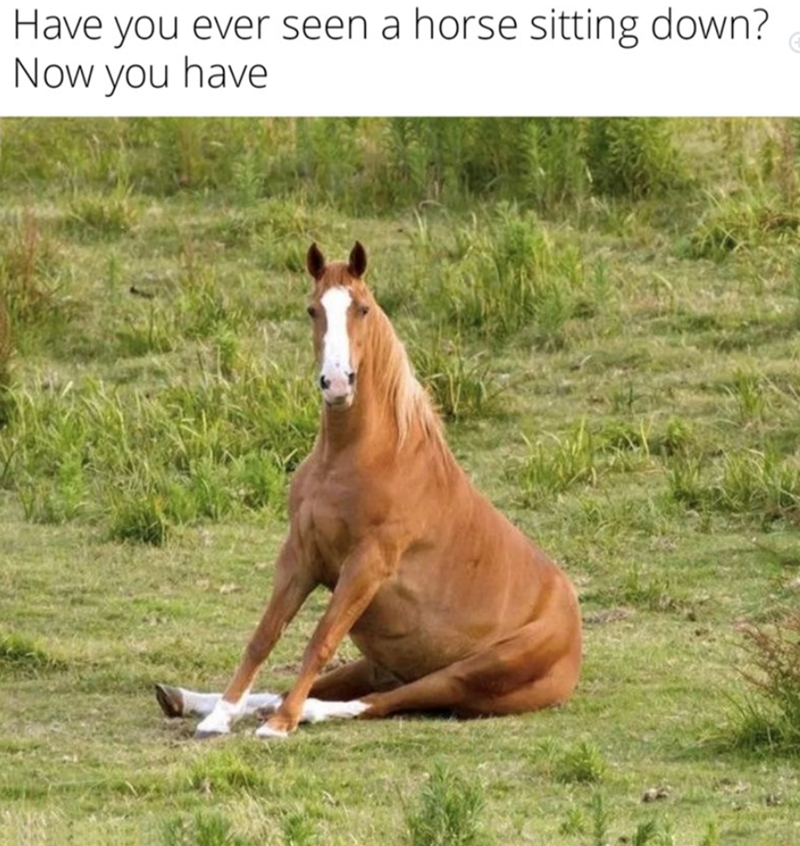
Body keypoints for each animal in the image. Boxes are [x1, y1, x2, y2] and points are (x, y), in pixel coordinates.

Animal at [155, 242, 582, 738]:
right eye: (312, 310)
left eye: (362, 308)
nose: (337, 382)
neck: (356, 458)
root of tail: (572, 638)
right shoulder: (300, 554)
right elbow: (264, 635)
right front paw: (220, 715)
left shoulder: (366, 565)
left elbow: (320, 640)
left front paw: (280, 725)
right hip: (380, 663)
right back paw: (187, 699)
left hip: (467, 674)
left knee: (386, 701)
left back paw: (302, 712)